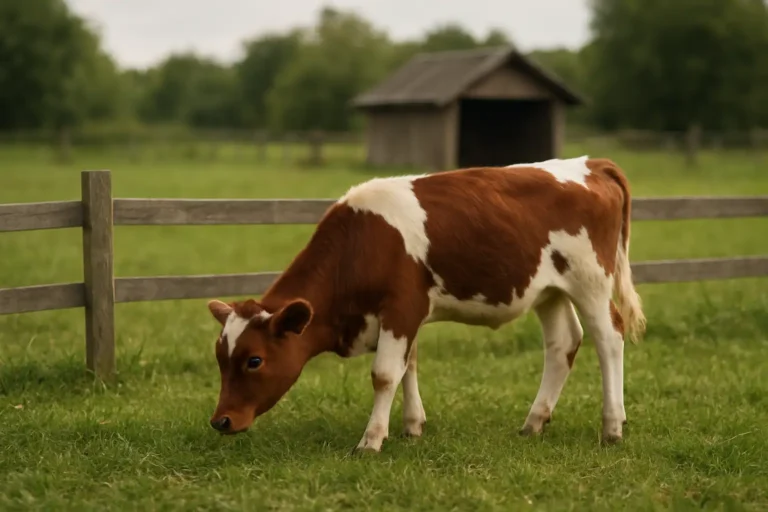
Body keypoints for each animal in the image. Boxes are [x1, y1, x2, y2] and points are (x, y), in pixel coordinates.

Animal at [206, 155, 646, 452]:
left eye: (255, 360)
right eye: (220, 358)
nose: (221, 421)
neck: (362, 242)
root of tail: (589, 163)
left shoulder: (401, 307)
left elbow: (385, 373)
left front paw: (371, 439)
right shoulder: (405, 315)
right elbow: (408, 366)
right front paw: (412, 426)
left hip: (591, 282)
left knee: (609, 339)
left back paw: (612, 426)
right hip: (548, 290)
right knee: (562, 344)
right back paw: (534, 422)